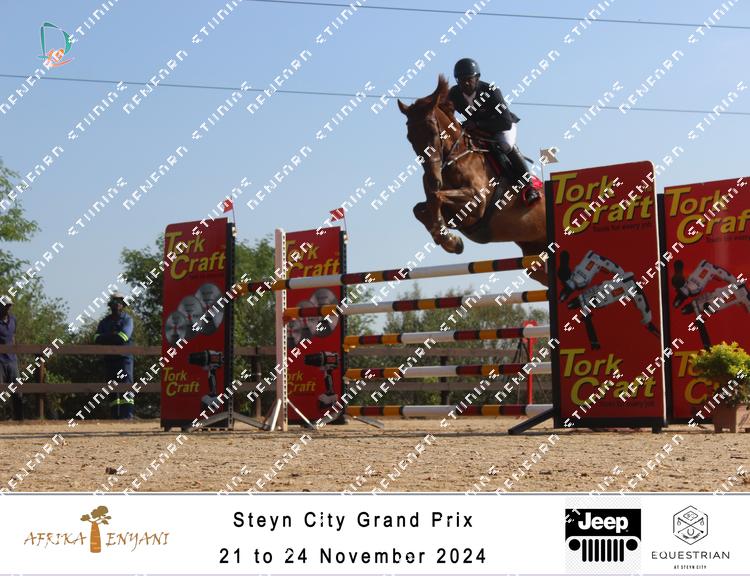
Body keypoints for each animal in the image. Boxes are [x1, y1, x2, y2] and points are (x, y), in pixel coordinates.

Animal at [397, 75, 549, 285]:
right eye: (410, 137)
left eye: (433, 132)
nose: (433, 180)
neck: (457, 157)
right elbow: (421, 208)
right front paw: (449, 240)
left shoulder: (476, 203)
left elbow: (437, 198)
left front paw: (450, 242)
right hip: (536, 260)